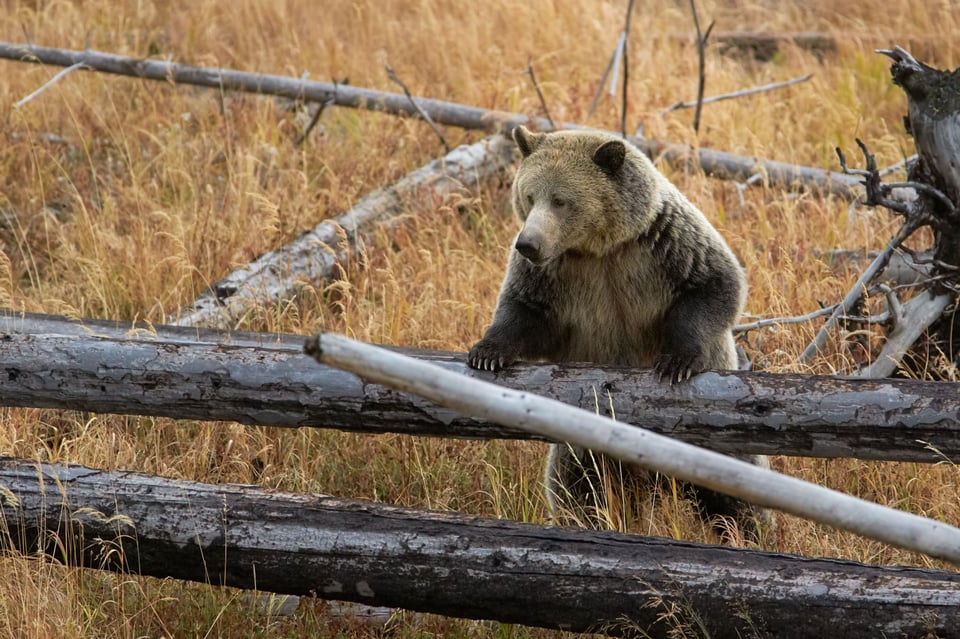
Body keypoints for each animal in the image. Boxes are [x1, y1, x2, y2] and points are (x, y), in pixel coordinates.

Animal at [464, 125, 764, 536]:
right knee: (578, 488)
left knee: (736, 493)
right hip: (585, 448)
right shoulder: (558, 277)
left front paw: (676, 362)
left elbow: (714, 284)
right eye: (529, 194)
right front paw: (487, 352)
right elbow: (524, 312)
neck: (598, 249)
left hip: (715, 446)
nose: (527, 243)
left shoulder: (661, 245)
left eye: (561, 200)